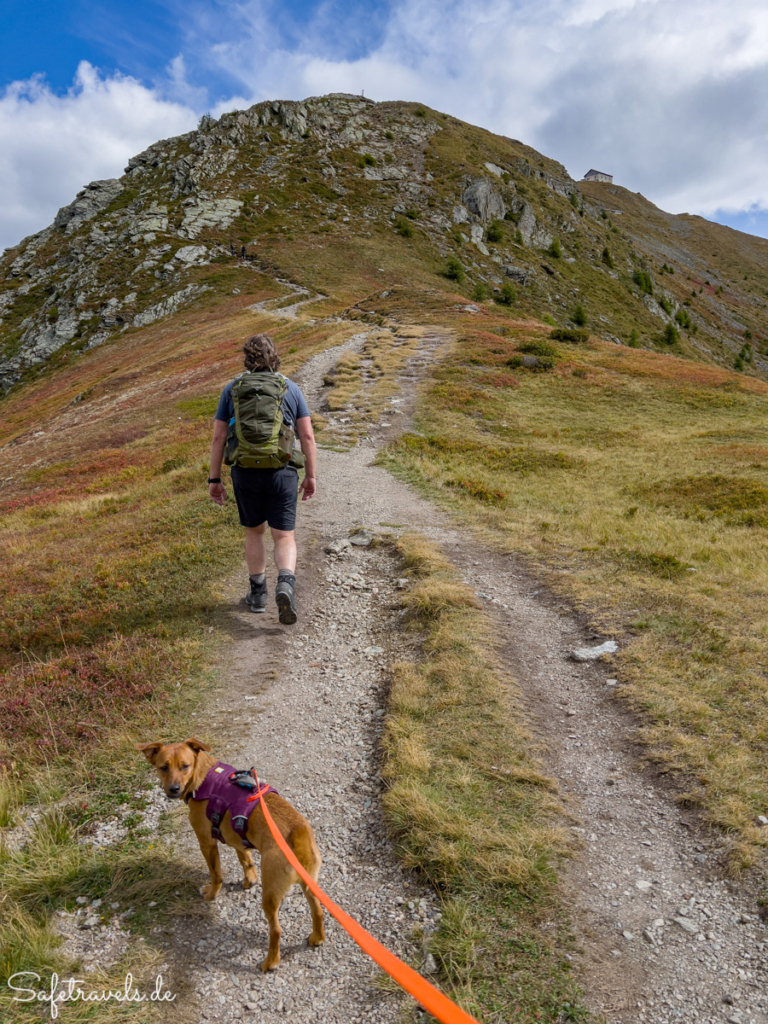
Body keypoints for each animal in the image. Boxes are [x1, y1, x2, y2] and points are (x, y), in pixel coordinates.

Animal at [138, 737, 325, 966]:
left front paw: (211, 893)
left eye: (185, 766)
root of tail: (297, 833)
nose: (173, 788)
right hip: (310, 885)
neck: (203, 778)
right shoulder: (237, 839)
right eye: (163, 767)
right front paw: (249, 880)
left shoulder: (207, 843)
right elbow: (245, 860)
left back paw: (270, 963)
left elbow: (216, 874)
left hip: (271, 896)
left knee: (276, 931)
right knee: (318, 911)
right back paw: (317, 937)